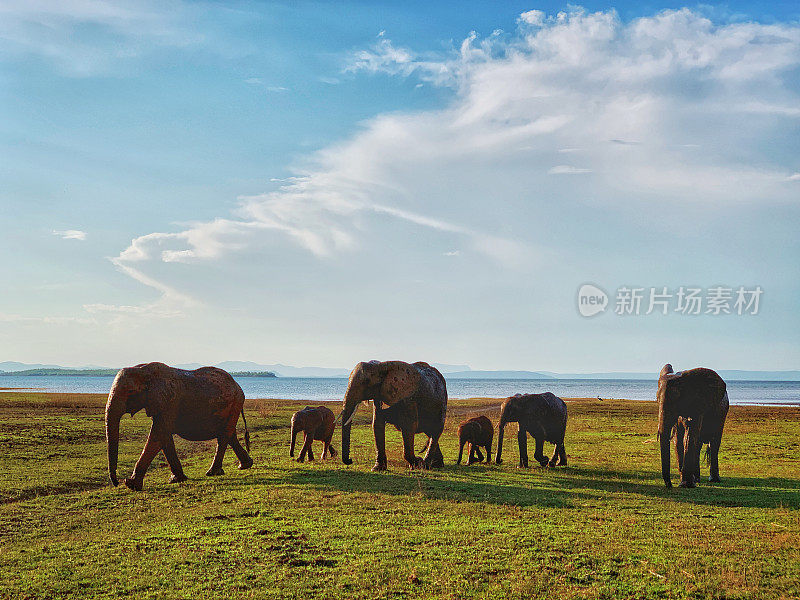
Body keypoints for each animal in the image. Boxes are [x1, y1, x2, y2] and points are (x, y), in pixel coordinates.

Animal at [104, 364, 252, 490]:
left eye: (129, 392)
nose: (116, 483)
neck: (144, 370)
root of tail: (237, 385)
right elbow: (164, 437)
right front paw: (177, 479)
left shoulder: (169, 402)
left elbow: (158, 434)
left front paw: (131, 485)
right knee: (229, 435)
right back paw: (244, 465)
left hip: (235, 402)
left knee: (224, 436)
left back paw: (212, 472)